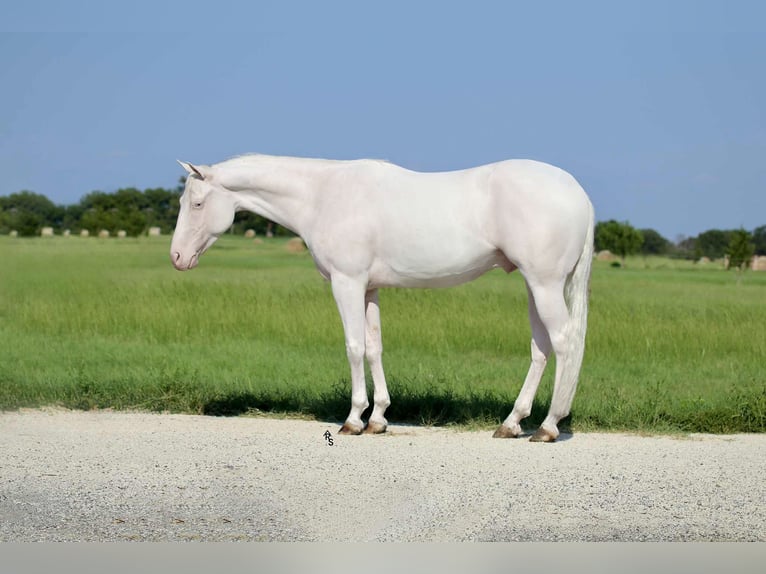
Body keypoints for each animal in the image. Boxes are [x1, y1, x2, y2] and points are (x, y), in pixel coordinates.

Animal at [170, 154, 594, 442]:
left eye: (196, 204)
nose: (177, 257)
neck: (323, 196)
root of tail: (579, 194)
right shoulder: (369, 289)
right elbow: (375, 347)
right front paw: (378, 419)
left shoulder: (347, 283)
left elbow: (354, 346)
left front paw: (353, 419)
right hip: (535, 286)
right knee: (541, 349)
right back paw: (512, 423)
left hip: (544, 284)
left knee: (563, 343)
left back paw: (548, 426)